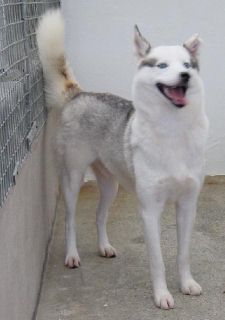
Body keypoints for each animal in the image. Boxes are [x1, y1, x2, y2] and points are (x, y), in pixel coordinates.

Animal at [36, 10, 208, 310]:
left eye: (187, 65)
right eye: (162, 65)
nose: (185, 75)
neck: (173, 130)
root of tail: (79, 93)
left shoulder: (188, 205)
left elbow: (183, 253)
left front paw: (186, 284)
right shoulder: (150, 210)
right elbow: (158, 260)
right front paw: (162, 295)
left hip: (110, 186)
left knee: (99, 216)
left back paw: (104, 247)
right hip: (72, 180)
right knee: (70, 220)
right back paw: (72, 256)